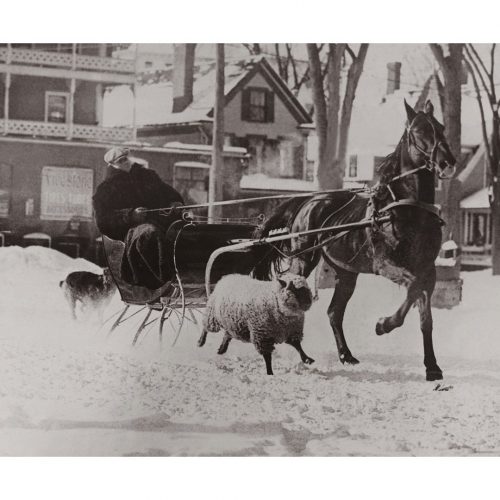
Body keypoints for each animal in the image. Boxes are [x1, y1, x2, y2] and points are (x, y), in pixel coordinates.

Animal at [256, 100, 456, 382]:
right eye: (419, 131)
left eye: (440, 127)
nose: (447, 162)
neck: (409, 208)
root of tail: (309, 201)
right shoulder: (386, 264)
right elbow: (412, 289)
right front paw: (383, 324)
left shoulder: (428, 269)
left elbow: (425, 316)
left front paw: (432, 367)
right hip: (303, 260)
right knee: (290, 300)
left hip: (346, 272)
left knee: (334, 312)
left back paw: (345, 354)